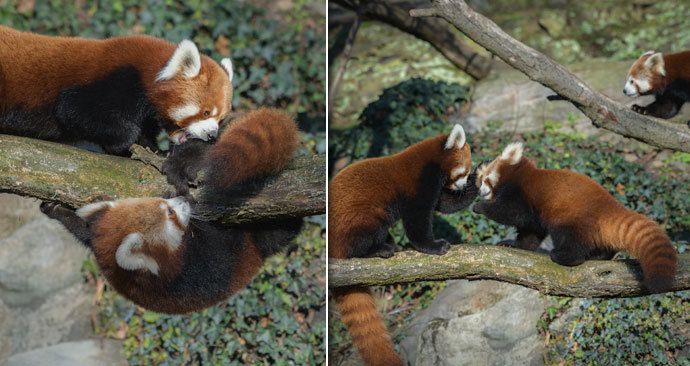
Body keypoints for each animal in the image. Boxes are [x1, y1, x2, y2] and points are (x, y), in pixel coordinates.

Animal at [0, 25, 234, 154]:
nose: (212, 135)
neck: (145, 72)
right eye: (206, 112)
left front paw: (155, 149)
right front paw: (123, 144)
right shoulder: (116, 81)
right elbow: (72, 111)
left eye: (221, 119)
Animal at [328, 125, 472, 366]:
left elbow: (446, 204)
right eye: (464, 171)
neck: (431, 162)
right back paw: (379, 249)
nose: (462, 185)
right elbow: (417, 221)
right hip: (361, 217)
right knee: (361, 240)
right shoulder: (419, 184)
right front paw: (433, 246)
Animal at [472, 142, 676, 294]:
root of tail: (609, 207)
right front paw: (514, 245)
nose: (480, 190)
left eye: (485, 179)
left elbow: (510, 213)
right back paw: (600, 256)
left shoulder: (521, 194)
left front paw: (479, 207)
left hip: (571, 218)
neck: (519, 175)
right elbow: (531, 232)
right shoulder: (533, 214)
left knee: (571, 240)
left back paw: (564, 256)